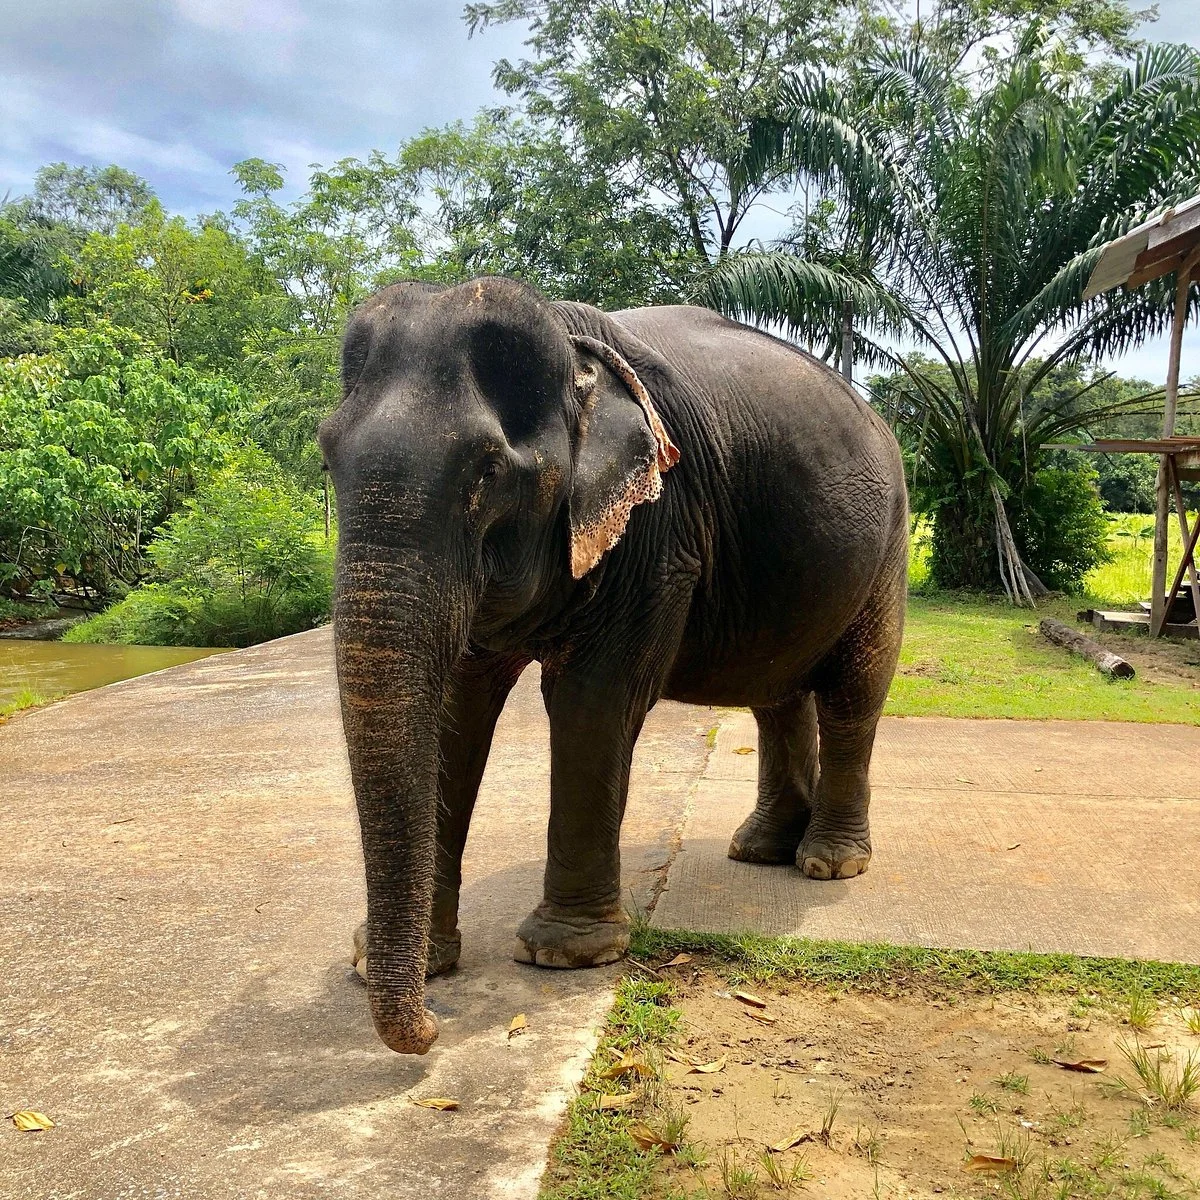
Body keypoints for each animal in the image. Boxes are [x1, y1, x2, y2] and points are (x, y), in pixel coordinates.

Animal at [318, 276, 908, 1055]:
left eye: (488, 471)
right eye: (328, 457)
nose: (432, 1029)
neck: (573, 354)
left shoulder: (658, 531)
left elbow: (593, 702)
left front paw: (564, 953)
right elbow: (451, 711)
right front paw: (424, 962)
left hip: (888, 545)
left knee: (853, 690)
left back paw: (827, 864)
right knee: (776, 694)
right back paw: (759, 850)